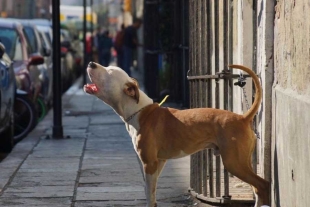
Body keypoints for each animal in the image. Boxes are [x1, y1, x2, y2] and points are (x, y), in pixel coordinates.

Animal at [83, 61, 270, 207]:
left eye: (109, 71)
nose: (91, 63)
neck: (139, 112)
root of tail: (242, 118)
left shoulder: (149, 163)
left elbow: (149, 193)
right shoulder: (158, 162)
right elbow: (150, 190)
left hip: (234, 162)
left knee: (262, 185)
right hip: (242, 161)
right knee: (257, 188)